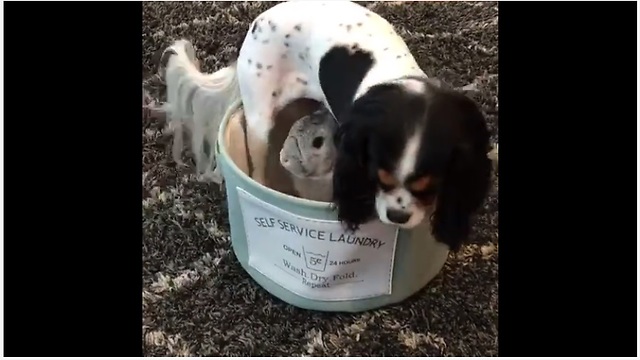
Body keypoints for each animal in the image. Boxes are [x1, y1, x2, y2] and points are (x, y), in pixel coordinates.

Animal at [159, 1, 490, 250]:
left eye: (430, 187)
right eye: (379, 177)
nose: (397, 215)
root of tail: (259, 20)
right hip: (259, 121)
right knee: (257, 168)